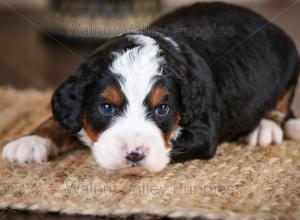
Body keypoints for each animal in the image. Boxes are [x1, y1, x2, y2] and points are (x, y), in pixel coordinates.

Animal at [2, 1, 300, 174]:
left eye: (162, 109)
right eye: (106, 107)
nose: (134, 155)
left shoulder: (203, 130)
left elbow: (170, 142)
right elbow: (58, 120)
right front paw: (30, 141)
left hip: (289, 63)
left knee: (282, 107)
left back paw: (264, 128)